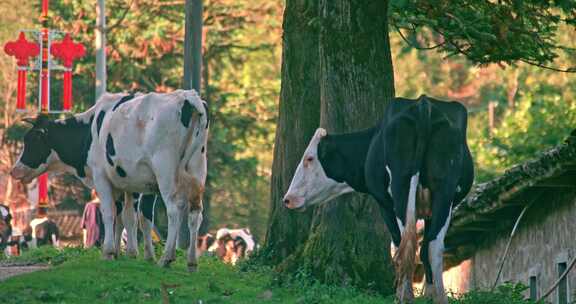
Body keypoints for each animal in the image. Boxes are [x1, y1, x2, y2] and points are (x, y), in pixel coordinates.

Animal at [10, 89, 209, 270]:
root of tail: (188, 96)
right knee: (195, 213)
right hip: (197, 170)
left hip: (165, 171)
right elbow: (128, 217)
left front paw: (109, 252)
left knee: (174, 210)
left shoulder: (102, 178)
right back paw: (192, 261)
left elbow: (109, 213)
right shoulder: (128, 183)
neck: (90, 130)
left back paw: (167, 257)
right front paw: (128, 254)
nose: (14, 171)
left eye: (32, 141)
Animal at [282, 95, 474, 304]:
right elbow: (424, 250)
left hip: (401, 193)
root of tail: (423, 104)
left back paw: (404, 296)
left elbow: (399, 245)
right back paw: (438, 297)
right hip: (444, 192)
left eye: (309, 158)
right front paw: (429, 294)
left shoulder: (384, 205)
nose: (288, 199)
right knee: (433, 247)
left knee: (405, 247)